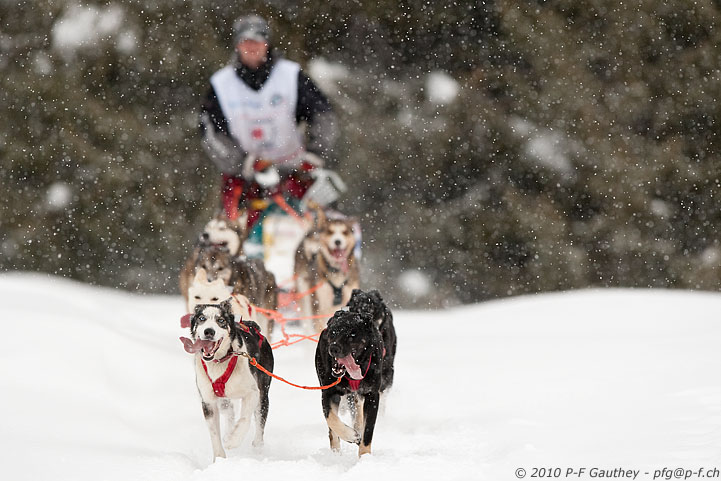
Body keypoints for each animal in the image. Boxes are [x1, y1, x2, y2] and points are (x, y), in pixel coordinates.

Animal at [314, 308, 386, 454]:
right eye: (333, 332)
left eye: (352, 334)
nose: (333, 348)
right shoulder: (328, 393)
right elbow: (331, 419)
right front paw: (351, 435)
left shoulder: (372, 395)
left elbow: (368, 431)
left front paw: (365, 456)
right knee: (333, 431)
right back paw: (336, 452)